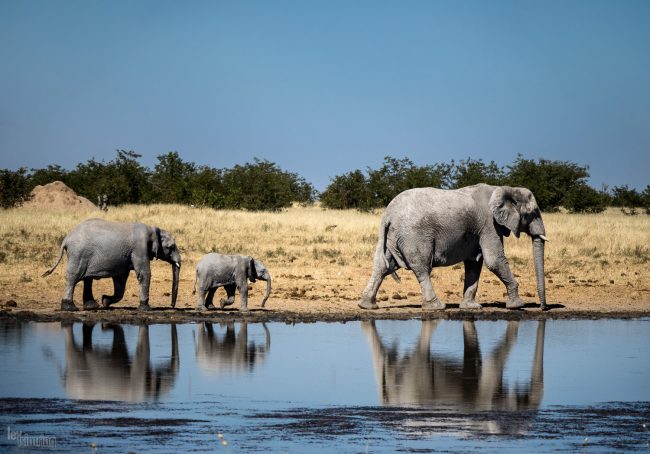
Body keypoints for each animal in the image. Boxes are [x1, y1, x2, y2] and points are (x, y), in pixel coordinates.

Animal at [42, 218, 180, 310]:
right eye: (171, 247)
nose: (172, 306)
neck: (152, 229)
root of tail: (66, 239)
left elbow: (120, 279)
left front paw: (105, 301)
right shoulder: (139, 249)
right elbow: (143, 274)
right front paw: (146, 309)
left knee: (87, 279)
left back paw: (93, 307)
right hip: (78, 254)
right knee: (73, 278)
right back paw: (70, 308)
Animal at [360, 183, 548, 310]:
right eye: (533, 213)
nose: (542, 308)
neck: (504, 188)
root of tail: (388, 214)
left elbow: (474, 263)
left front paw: (471, 307)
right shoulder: (489, 224)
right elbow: (494, 260)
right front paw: (517, 305)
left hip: (391, 236)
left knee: (382, 266)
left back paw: (366, 306)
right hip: (414, 235)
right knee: (422, 267)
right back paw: (436, 306)